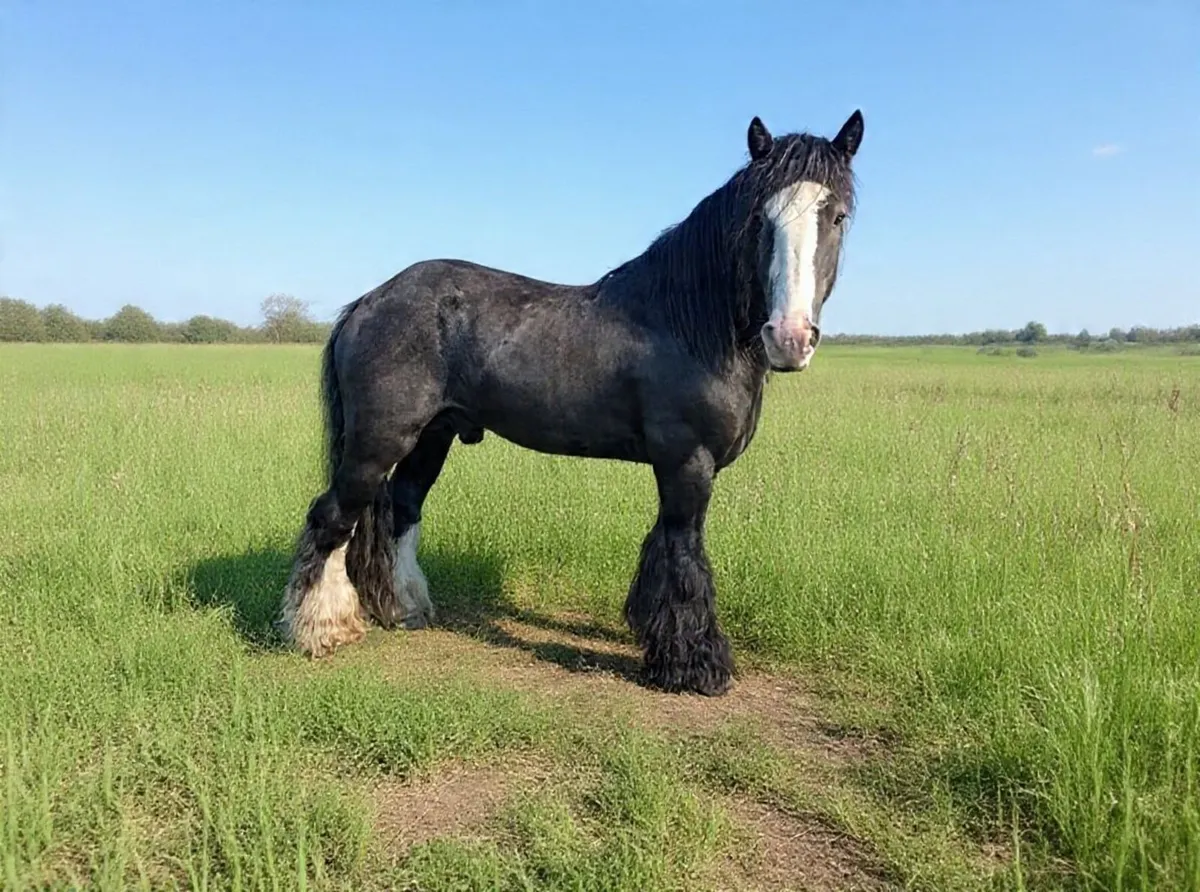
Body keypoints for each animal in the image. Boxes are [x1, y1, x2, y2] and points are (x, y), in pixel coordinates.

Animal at [279, 110, 864, 697]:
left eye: (836, 216)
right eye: (759, 220)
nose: (789, 337)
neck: (688, 325)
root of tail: (368, 302)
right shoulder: (687, 463)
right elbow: (683, 553)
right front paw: (693, 665)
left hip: (432, 437)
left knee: (402, 508)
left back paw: (405, 609)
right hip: (379, 441)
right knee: (332, 517)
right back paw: (320, 631)